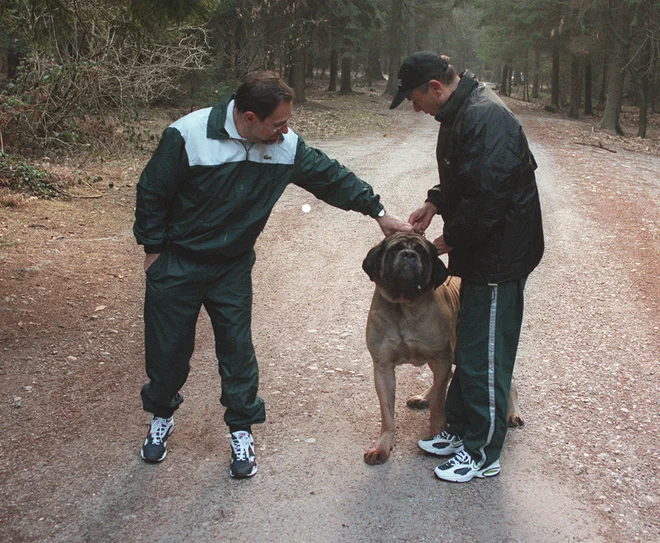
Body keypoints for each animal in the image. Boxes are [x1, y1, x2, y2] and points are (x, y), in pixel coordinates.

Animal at [360, 232, 520, 466]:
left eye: (422, 252)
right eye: (395, 249)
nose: (409, 255)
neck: (404, 306)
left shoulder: (441, 358)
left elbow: (438, 404)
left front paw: (437, 434)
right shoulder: (383, 367)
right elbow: (387, 413)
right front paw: (382, 446)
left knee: (507, 381)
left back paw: (513, 413)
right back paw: (423, 397)